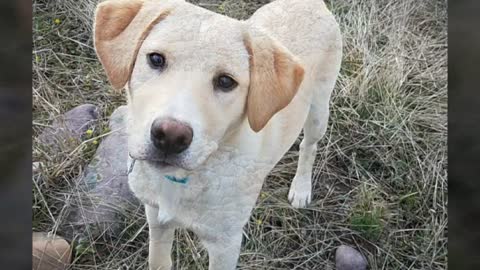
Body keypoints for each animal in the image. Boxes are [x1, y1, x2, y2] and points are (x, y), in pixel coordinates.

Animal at [93, 1, 342, 268]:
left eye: (225, 81)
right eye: (156, 59)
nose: (170, 136)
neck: (186, 178)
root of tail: (313, 4)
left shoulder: (226, 245)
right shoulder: (156, 218)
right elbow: (158, 260)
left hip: (318, 111)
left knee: (309, 146)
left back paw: (301, 188)